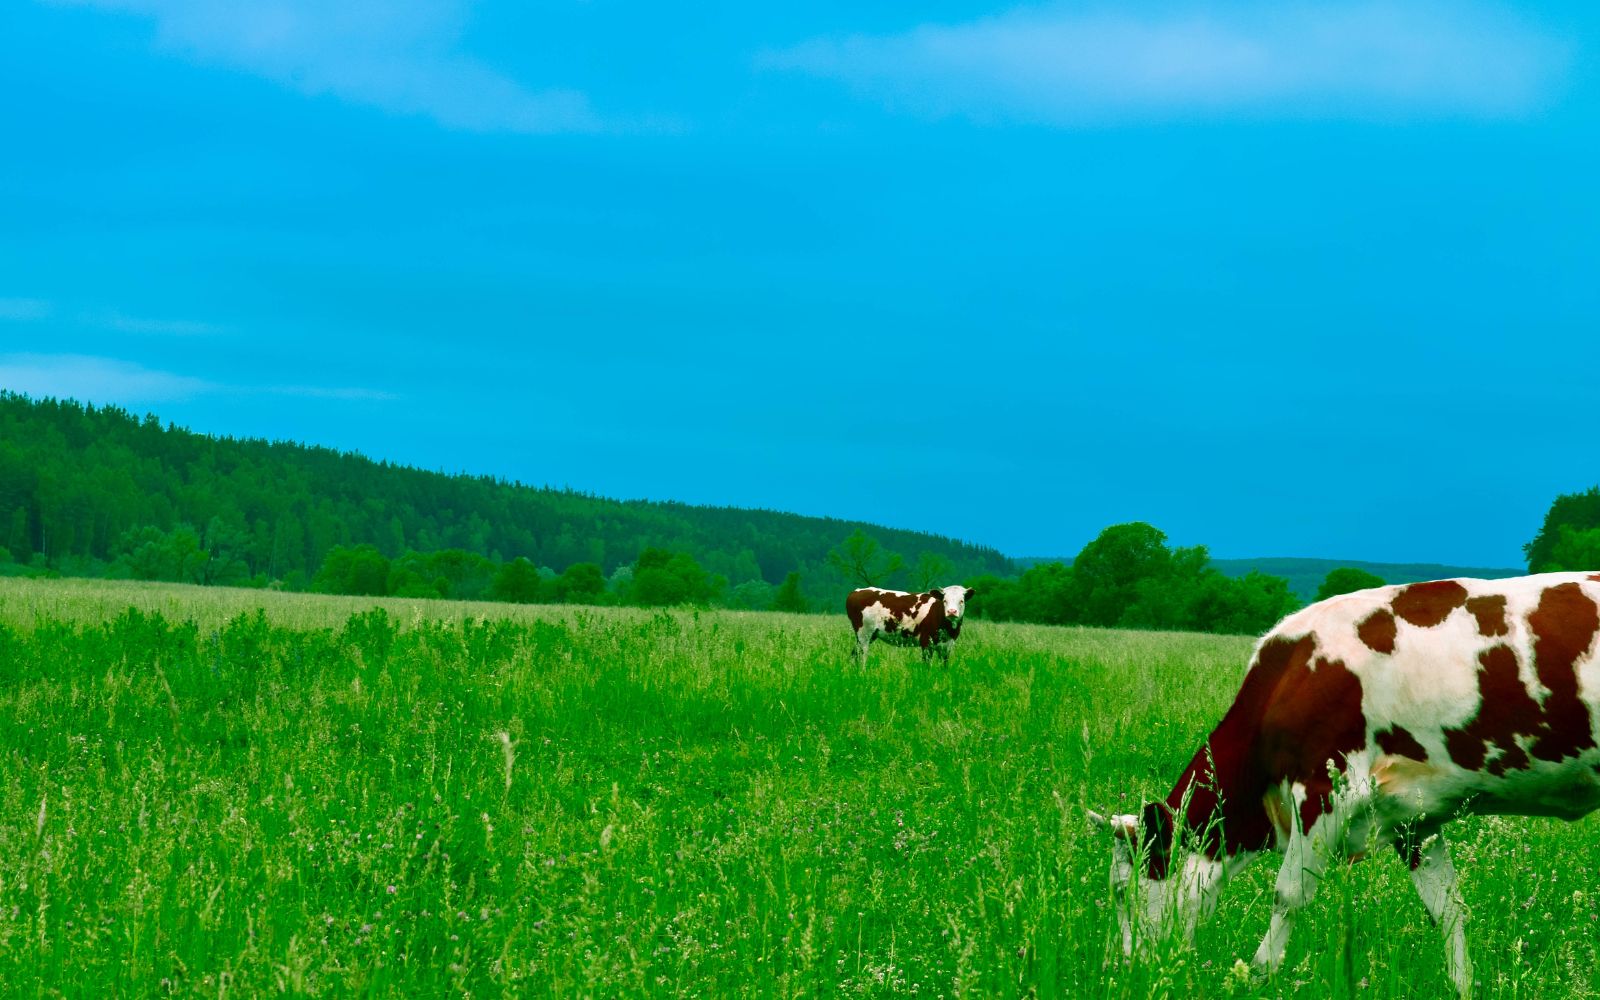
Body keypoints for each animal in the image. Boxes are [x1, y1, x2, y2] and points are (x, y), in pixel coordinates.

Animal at [1088, 572, 1600, 992]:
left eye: (1123, 889)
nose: (1119, 970)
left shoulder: (1322, 790)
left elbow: (1288, 895)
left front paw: (1258, 978)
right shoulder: (1415, 817)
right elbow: (1447, 908)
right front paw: (1464, 986)